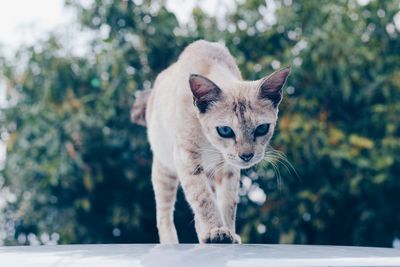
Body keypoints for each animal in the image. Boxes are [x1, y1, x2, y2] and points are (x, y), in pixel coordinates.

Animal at [132, 40, 290, 245]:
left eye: (262, 128)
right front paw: (216, 231)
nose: (247, 156)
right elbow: (203, 199)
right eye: (225, 130)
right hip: (164, 171)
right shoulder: (187, 158)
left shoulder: (228, 167)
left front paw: (228, 233)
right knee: (164, 215)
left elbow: (227, 204)